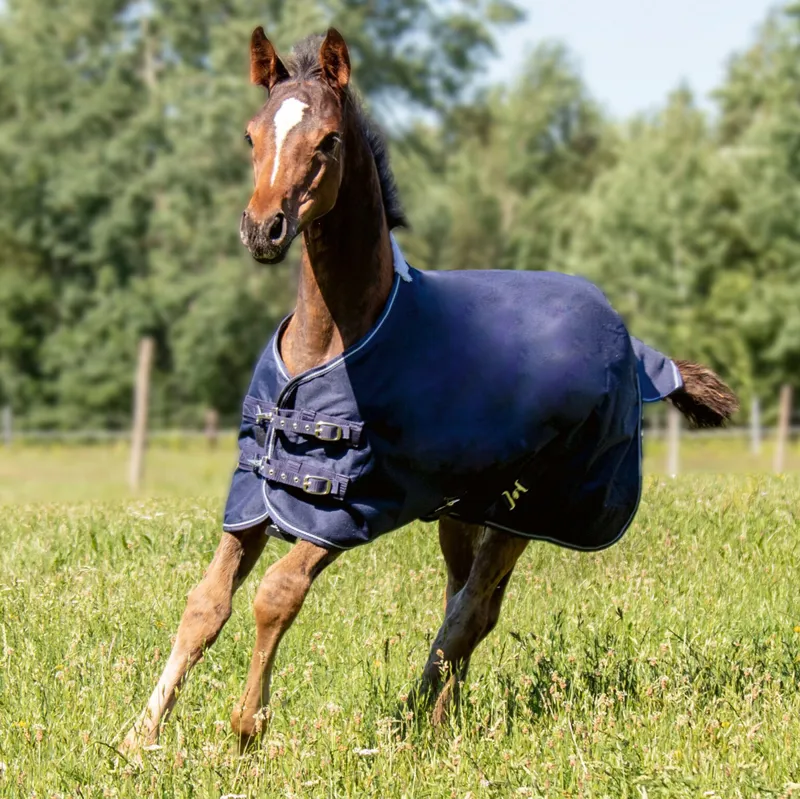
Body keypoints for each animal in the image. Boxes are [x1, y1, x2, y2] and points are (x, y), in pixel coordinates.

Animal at [122, 27, 738, 754]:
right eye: (251, 135)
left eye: (328, 139)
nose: (262, 229)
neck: (328, 345)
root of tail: (631, 342)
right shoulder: (255, 494)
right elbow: (204, 604)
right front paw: (137, 737)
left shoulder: (348, 505)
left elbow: (277, 593)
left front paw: (246, 729)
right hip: (463, 508)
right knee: (469, 600)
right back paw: (442, 716)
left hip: (527, 510)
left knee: (470, 610)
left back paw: (413, 718)